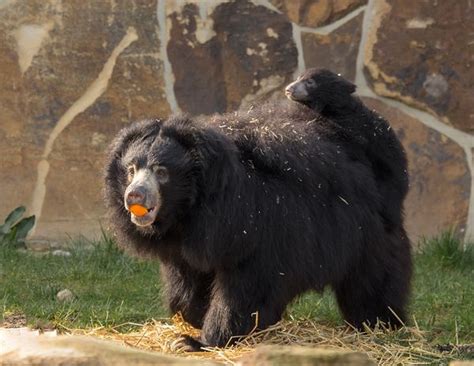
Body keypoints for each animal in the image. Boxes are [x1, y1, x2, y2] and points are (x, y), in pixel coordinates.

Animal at [103, 98, 412, 350]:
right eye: (131, 169)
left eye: (161, 172)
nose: (134, 196)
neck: (191, 211)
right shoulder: (187, 243)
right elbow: (188, 281)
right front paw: (195, 318)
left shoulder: (255, 229)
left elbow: (246, 289)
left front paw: (197, 341)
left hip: (366, 235)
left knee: (372, 284)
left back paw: (379, 325)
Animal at [286, 68, 410, 229]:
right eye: (298, 78)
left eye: (310, 82)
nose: (288, 89)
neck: (332, 108)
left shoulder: (354, 130)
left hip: (389, 181)